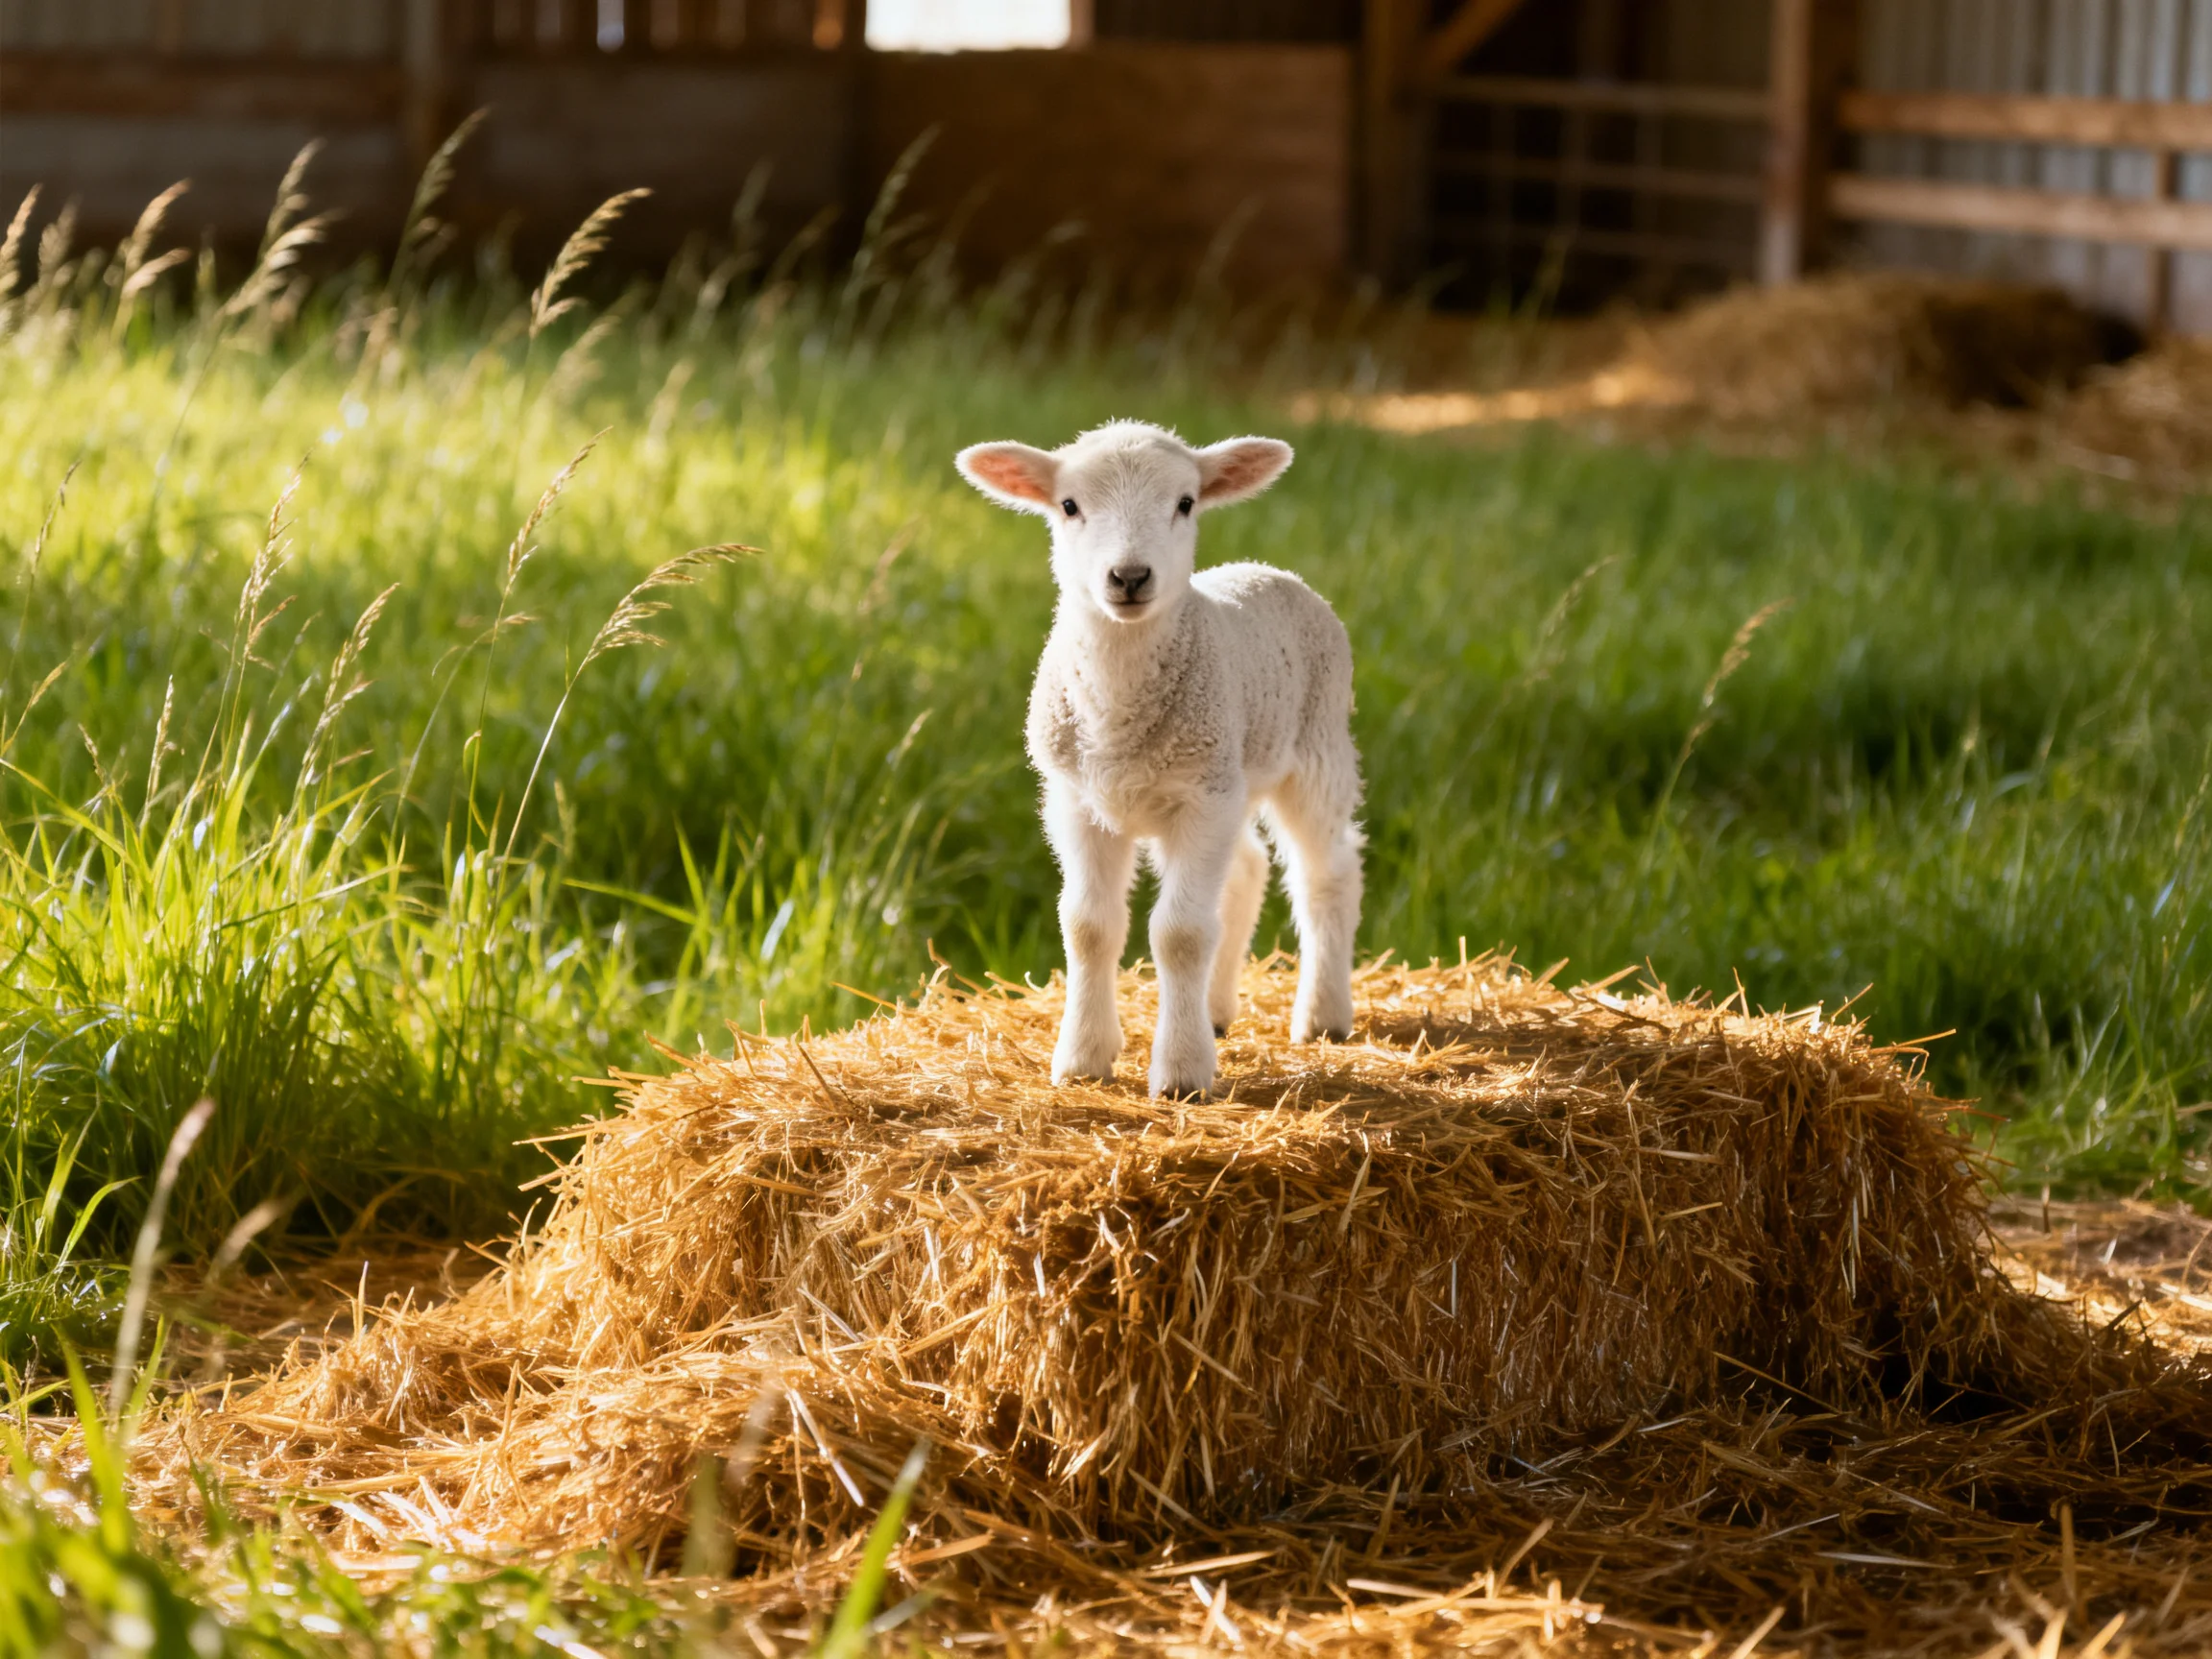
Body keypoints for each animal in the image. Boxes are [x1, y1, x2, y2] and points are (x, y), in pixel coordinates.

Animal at [956, 420, 1363, 1098]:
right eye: (1069, 505)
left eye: (1186, 503)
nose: (1129, 576)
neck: (1118, 713)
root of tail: (1264, 568)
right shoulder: (1077, 800)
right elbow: (1088, 926)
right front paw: (1083, 1058)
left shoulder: (1200, 799)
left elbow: (1179, 934)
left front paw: (1181, 1074)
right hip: (1229, 773)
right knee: (1246, 869)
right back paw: (1217, 1011)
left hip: (1315, 746)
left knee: (1326, 872)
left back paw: (1323, 1015)